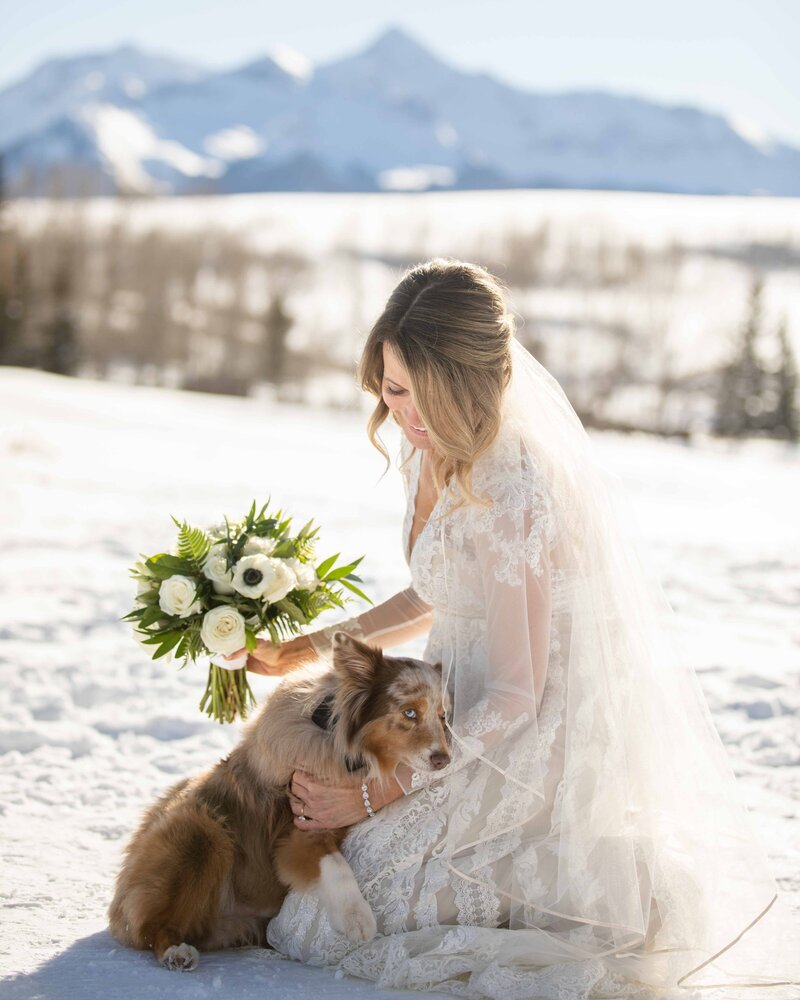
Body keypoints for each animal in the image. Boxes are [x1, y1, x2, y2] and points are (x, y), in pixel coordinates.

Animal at [106, 632, 450, 968]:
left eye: (443, 716)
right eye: (409, 712)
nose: (444, 759)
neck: (340, 745)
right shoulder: (300, 828)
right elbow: (336, 866)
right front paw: (358, 919)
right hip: (201, 831)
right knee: (150, 928)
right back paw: (177, 952)